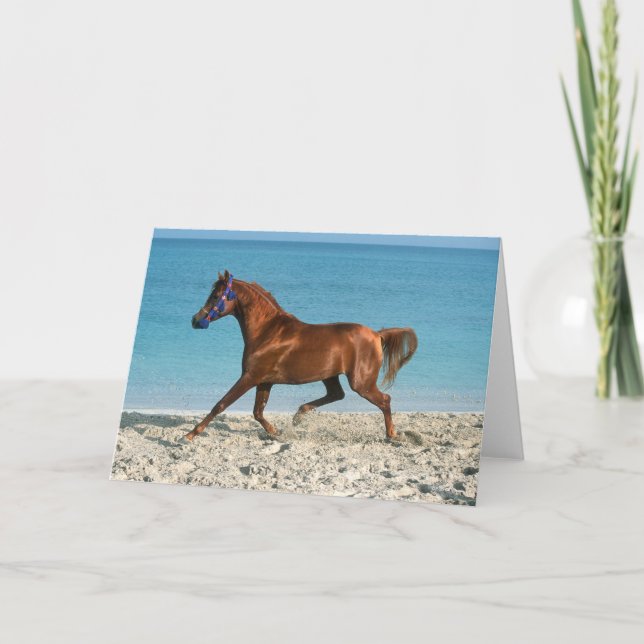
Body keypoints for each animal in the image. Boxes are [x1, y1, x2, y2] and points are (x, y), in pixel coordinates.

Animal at [186, 270, 418, 442]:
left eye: (216, 296)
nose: (195, 320)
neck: (267, 332)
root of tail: (377, 335)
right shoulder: (265, 381)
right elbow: (258, 412)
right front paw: (277, 432)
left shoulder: (250, 377)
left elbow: (221, 404)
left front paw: (190, 434)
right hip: (330, 376)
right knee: (337, 394)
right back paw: (299, 415)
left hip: (362, 383)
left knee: (384, 400)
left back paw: (392, 435)